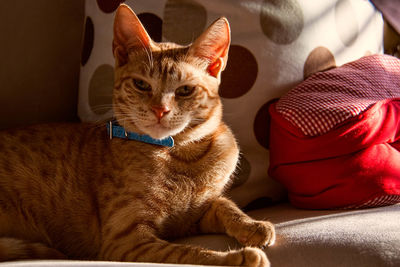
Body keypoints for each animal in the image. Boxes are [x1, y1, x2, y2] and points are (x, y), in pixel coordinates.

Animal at [0, 4, 276, 267]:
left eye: (185, 90)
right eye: (142, 85)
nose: (160, 110)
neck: (180, 155)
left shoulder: (192, 216)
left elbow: (224, 204)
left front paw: (254, 226)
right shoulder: (127, 240)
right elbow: (189, 254)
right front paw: (238, 258)